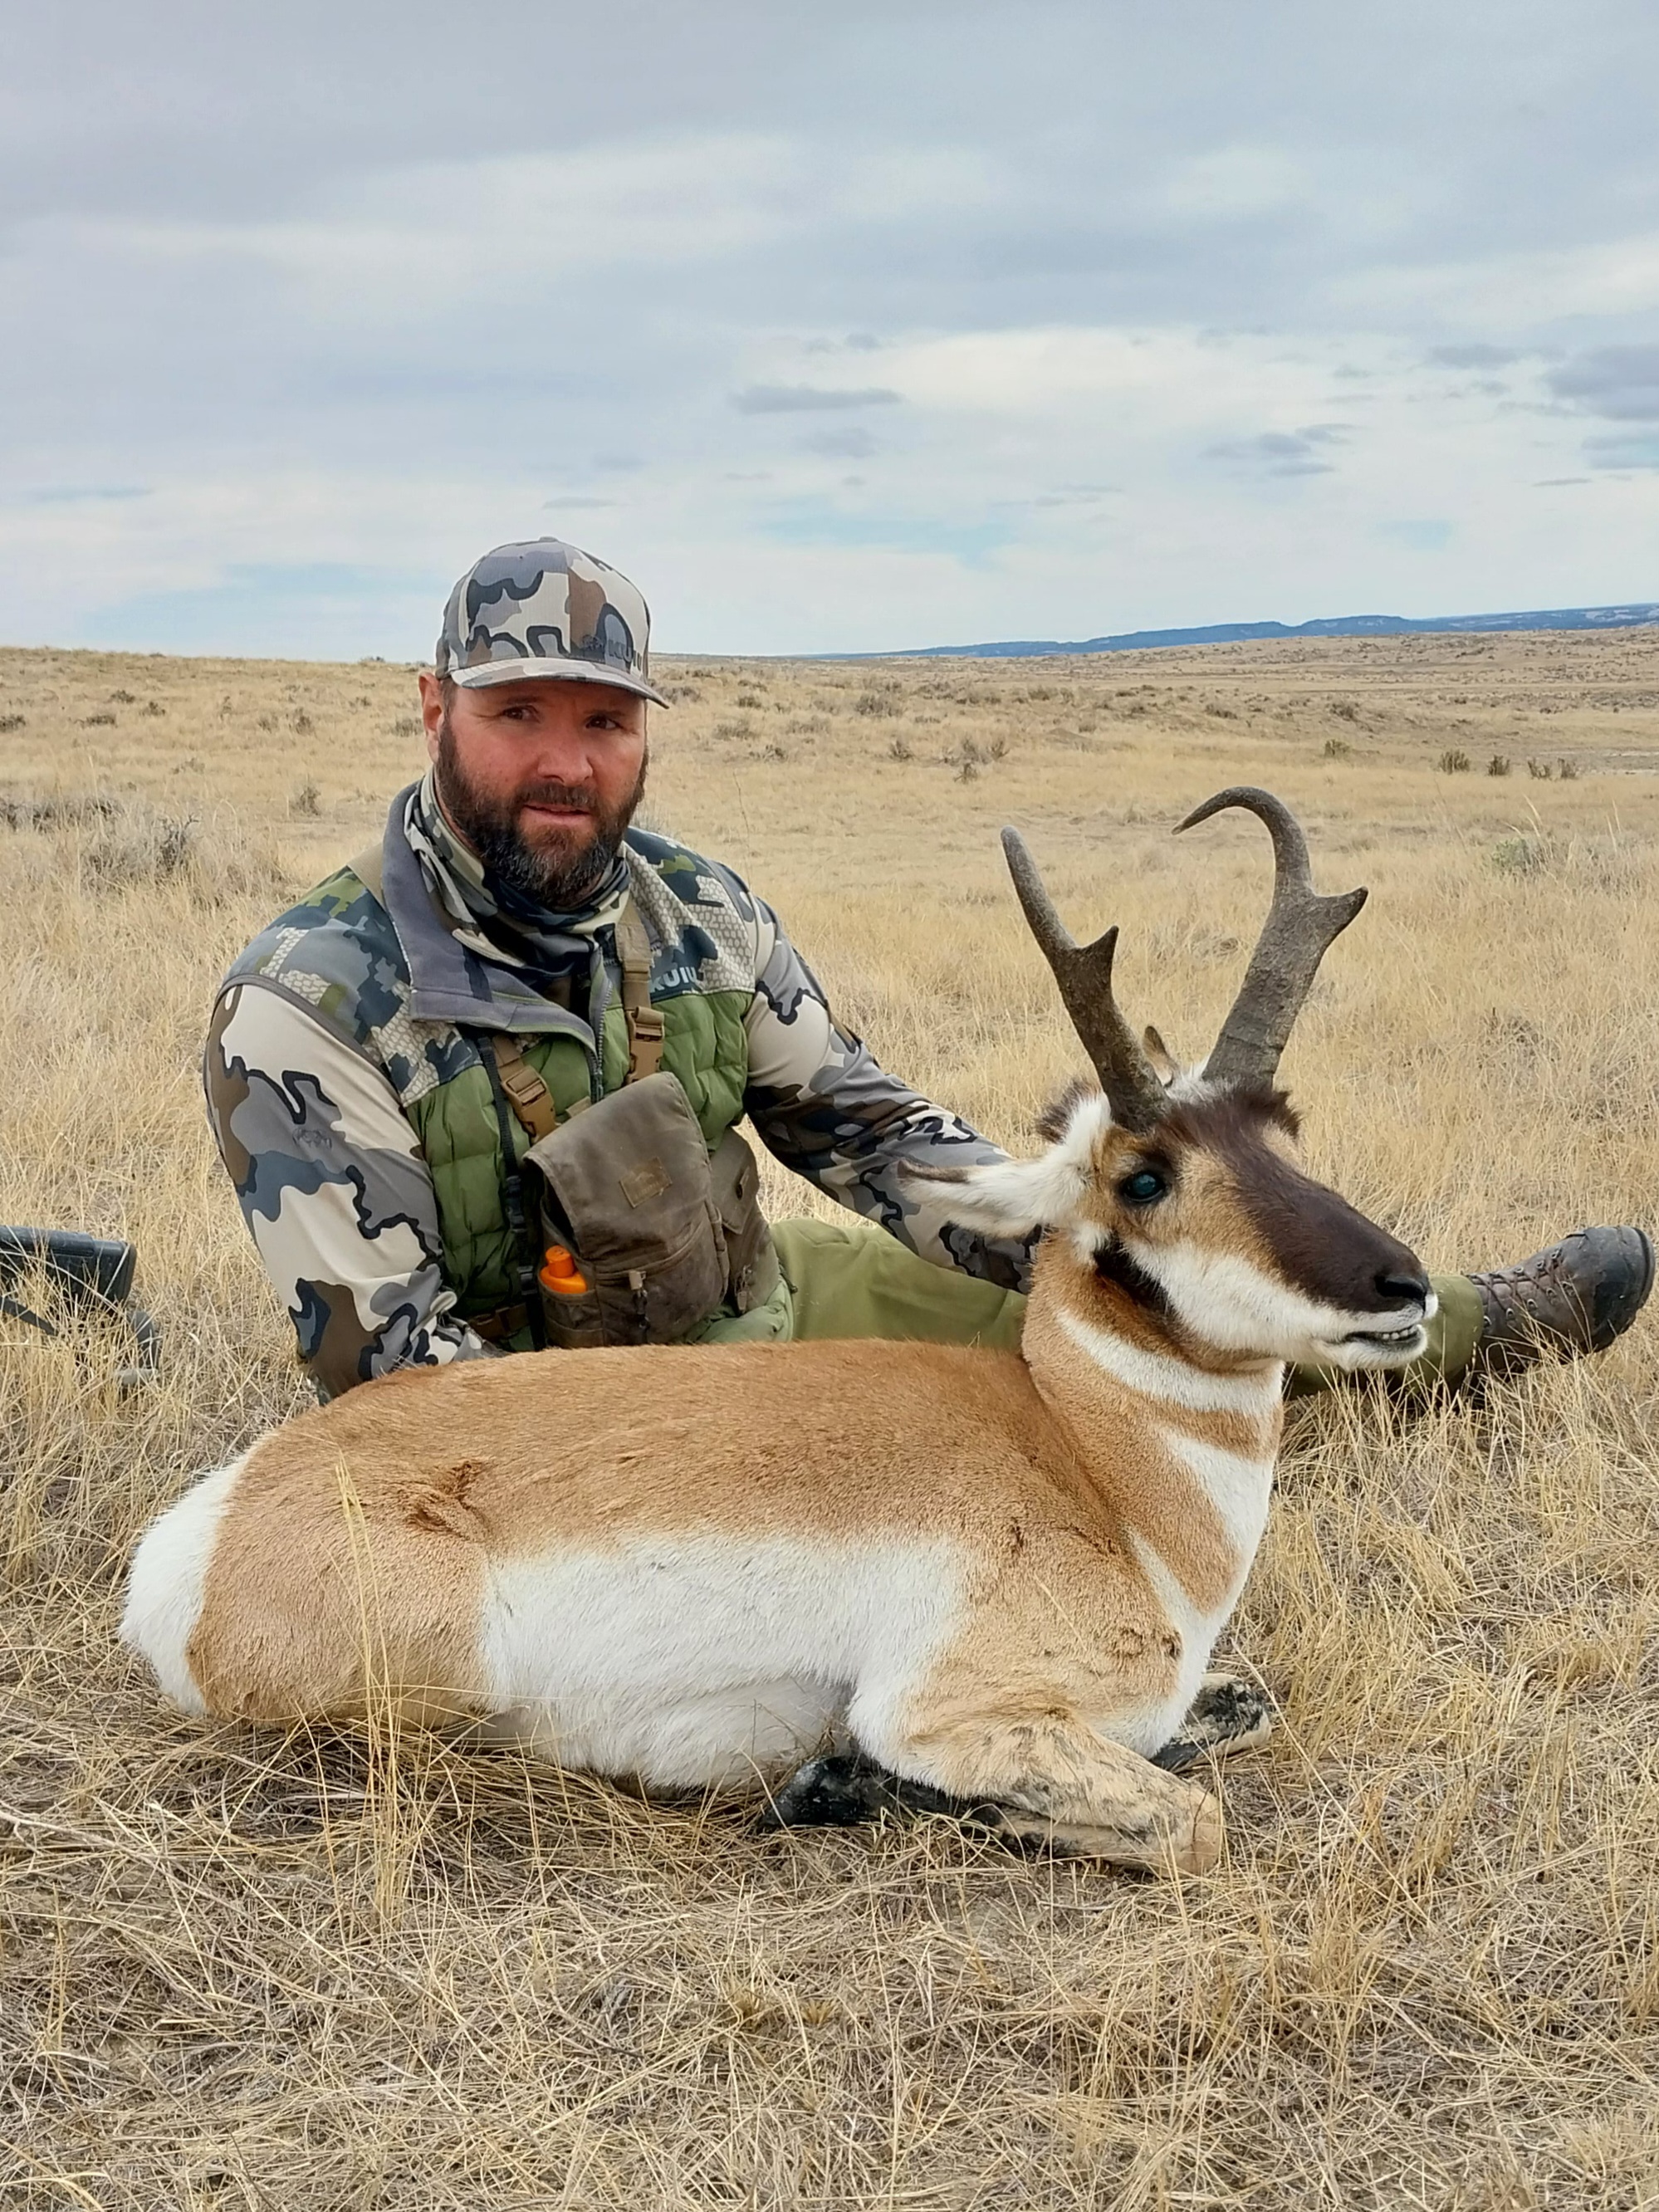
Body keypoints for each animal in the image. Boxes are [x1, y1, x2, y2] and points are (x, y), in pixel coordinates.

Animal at [122, 789, 1433, 1876]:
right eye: (1145, 1178)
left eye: (1284, 1126)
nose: (1404, 1287)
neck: (1090, 1469)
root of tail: (208, 1531)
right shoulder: (939, 1708)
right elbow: (1191, 1820)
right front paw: (851, 1784)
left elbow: (1238, 1710)